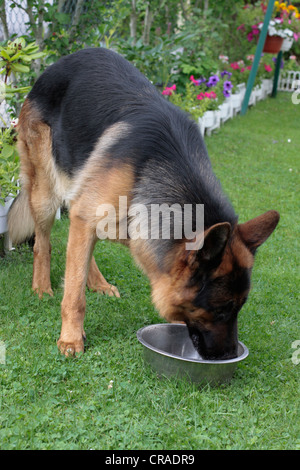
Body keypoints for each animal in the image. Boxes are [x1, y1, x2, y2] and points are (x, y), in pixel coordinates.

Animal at [7, 48, 278, 360]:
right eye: (221, 310)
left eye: (240, 307)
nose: (231, 354)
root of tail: (54, 66)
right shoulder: (87, 217)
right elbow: (74, 294)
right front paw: (71, 339)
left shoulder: (98, 219)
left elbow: (79, 264)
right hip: (46, 192)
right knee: (43, 243)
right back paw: (42, 287)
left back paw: (97, 282)